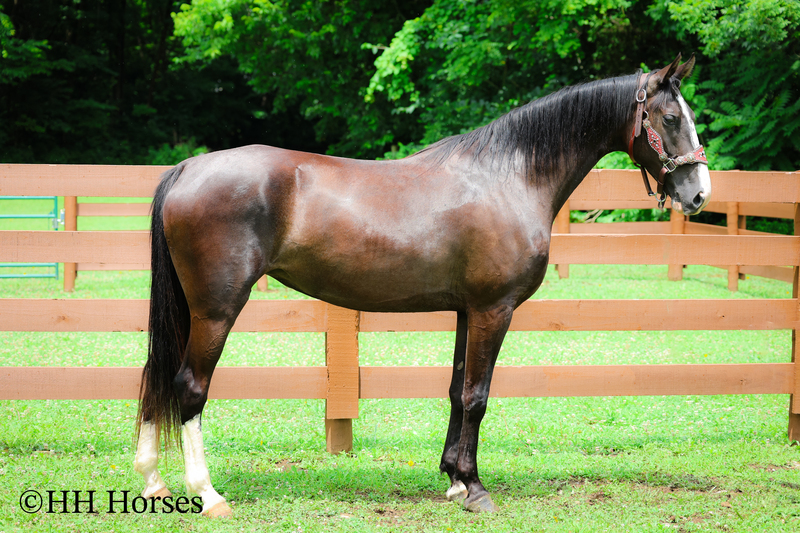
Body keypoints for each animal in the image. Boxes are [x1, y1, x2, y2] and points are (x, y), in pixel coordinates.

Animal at [133, 54, 711, 516]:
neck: (509, 178)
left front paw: (454, 479)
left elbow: (457, 390)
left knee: (156, 375)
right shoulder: (494, 310)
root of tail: (188, 168)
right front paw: (475, 488)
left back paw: (155, 483)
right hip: (216, 309)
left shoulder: (467, 311)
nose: (699, 193)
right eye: (670, 118)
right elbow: (477, 395)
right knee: (188, 385)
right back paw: (208, 494)